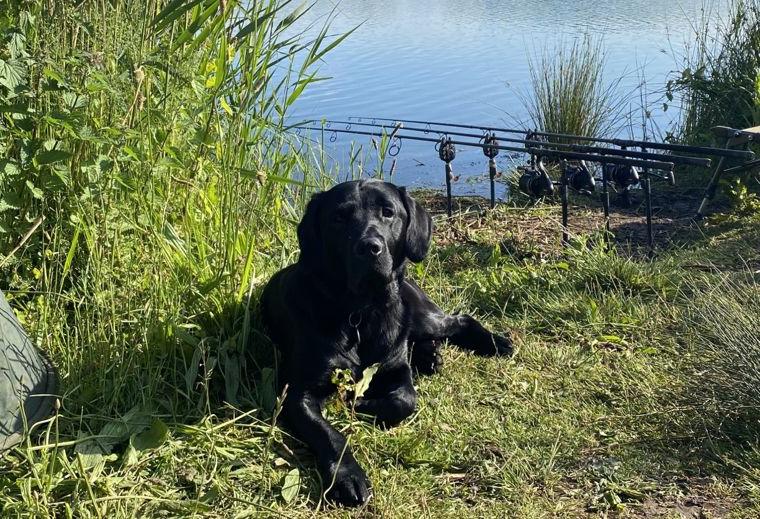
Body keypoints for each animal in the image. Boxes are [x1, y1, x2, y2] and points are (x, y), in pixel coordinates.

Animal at [260, 180, 510, 508]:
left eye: (388, 212)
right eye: (339, 217)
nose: (370, 247)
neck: (359, 313)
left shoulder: (395, 370)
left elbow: (405, 400)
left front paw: (360, 403)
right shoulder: (297, 393)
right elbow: (329, 433)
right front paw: (348, 476)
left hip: (419, 314)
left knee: (460, 320)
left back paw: (495, 343)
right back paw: (431, 358)